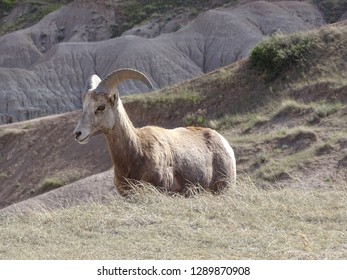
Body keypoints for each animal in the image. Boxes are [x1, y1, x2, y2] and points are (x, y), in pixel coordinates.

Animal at [73, 68, 237, 195]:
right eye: (84, 106)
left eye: (101, 107)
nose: (77, 134)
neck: (138, 151)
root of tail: (224, 143)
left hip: (224, 189)